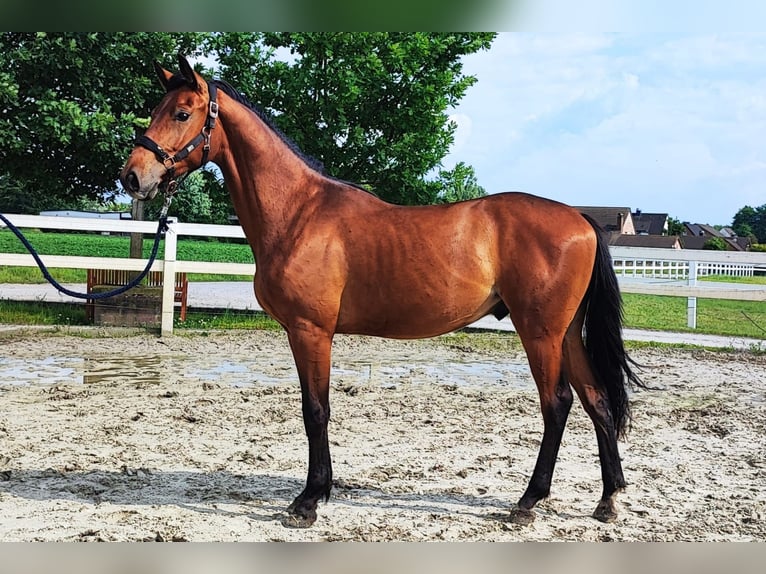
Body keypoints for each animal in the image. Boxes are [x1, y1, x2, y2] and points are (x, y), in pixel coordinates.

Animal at [120, 55, 644, 532]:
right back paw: (608, 500)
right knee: (596, 399)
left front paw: (308, 501)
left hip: (541, 334)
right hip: (567, 333)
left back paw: (528, 502)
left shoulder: (310, 332)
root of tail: (581, 220)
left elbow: (315, 410)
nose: (132, 176)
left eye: (181, 113)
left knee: (557, 404)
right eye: (155, 111)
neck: (299, 212)